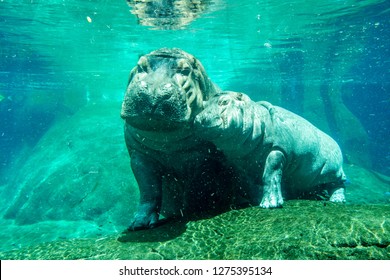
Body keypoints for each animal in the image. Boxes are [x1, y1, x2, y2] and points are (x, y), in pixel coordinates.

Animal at [120, 48, 235, 231]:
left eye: (186, 70)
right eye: (140, 66)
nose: (154, 90)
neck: (166, 139)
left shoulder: (203, 158)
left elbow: (196, 187)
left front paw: (192, 213)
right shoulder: (140, 157)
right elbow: (148, 189)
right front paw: (139, 224)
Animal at [195, 91, 348, 208]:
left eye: (225, 101)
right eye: (203, 104)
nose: (198, 119)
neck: (254, 116)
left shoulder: (278, 150)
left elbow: (270, 174)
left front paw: (270, 204)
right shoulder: (240, 162)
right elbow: (247, 181)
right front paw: (253, 199)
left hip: (334, 170)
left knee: (339, 183)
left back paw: (337, 200)